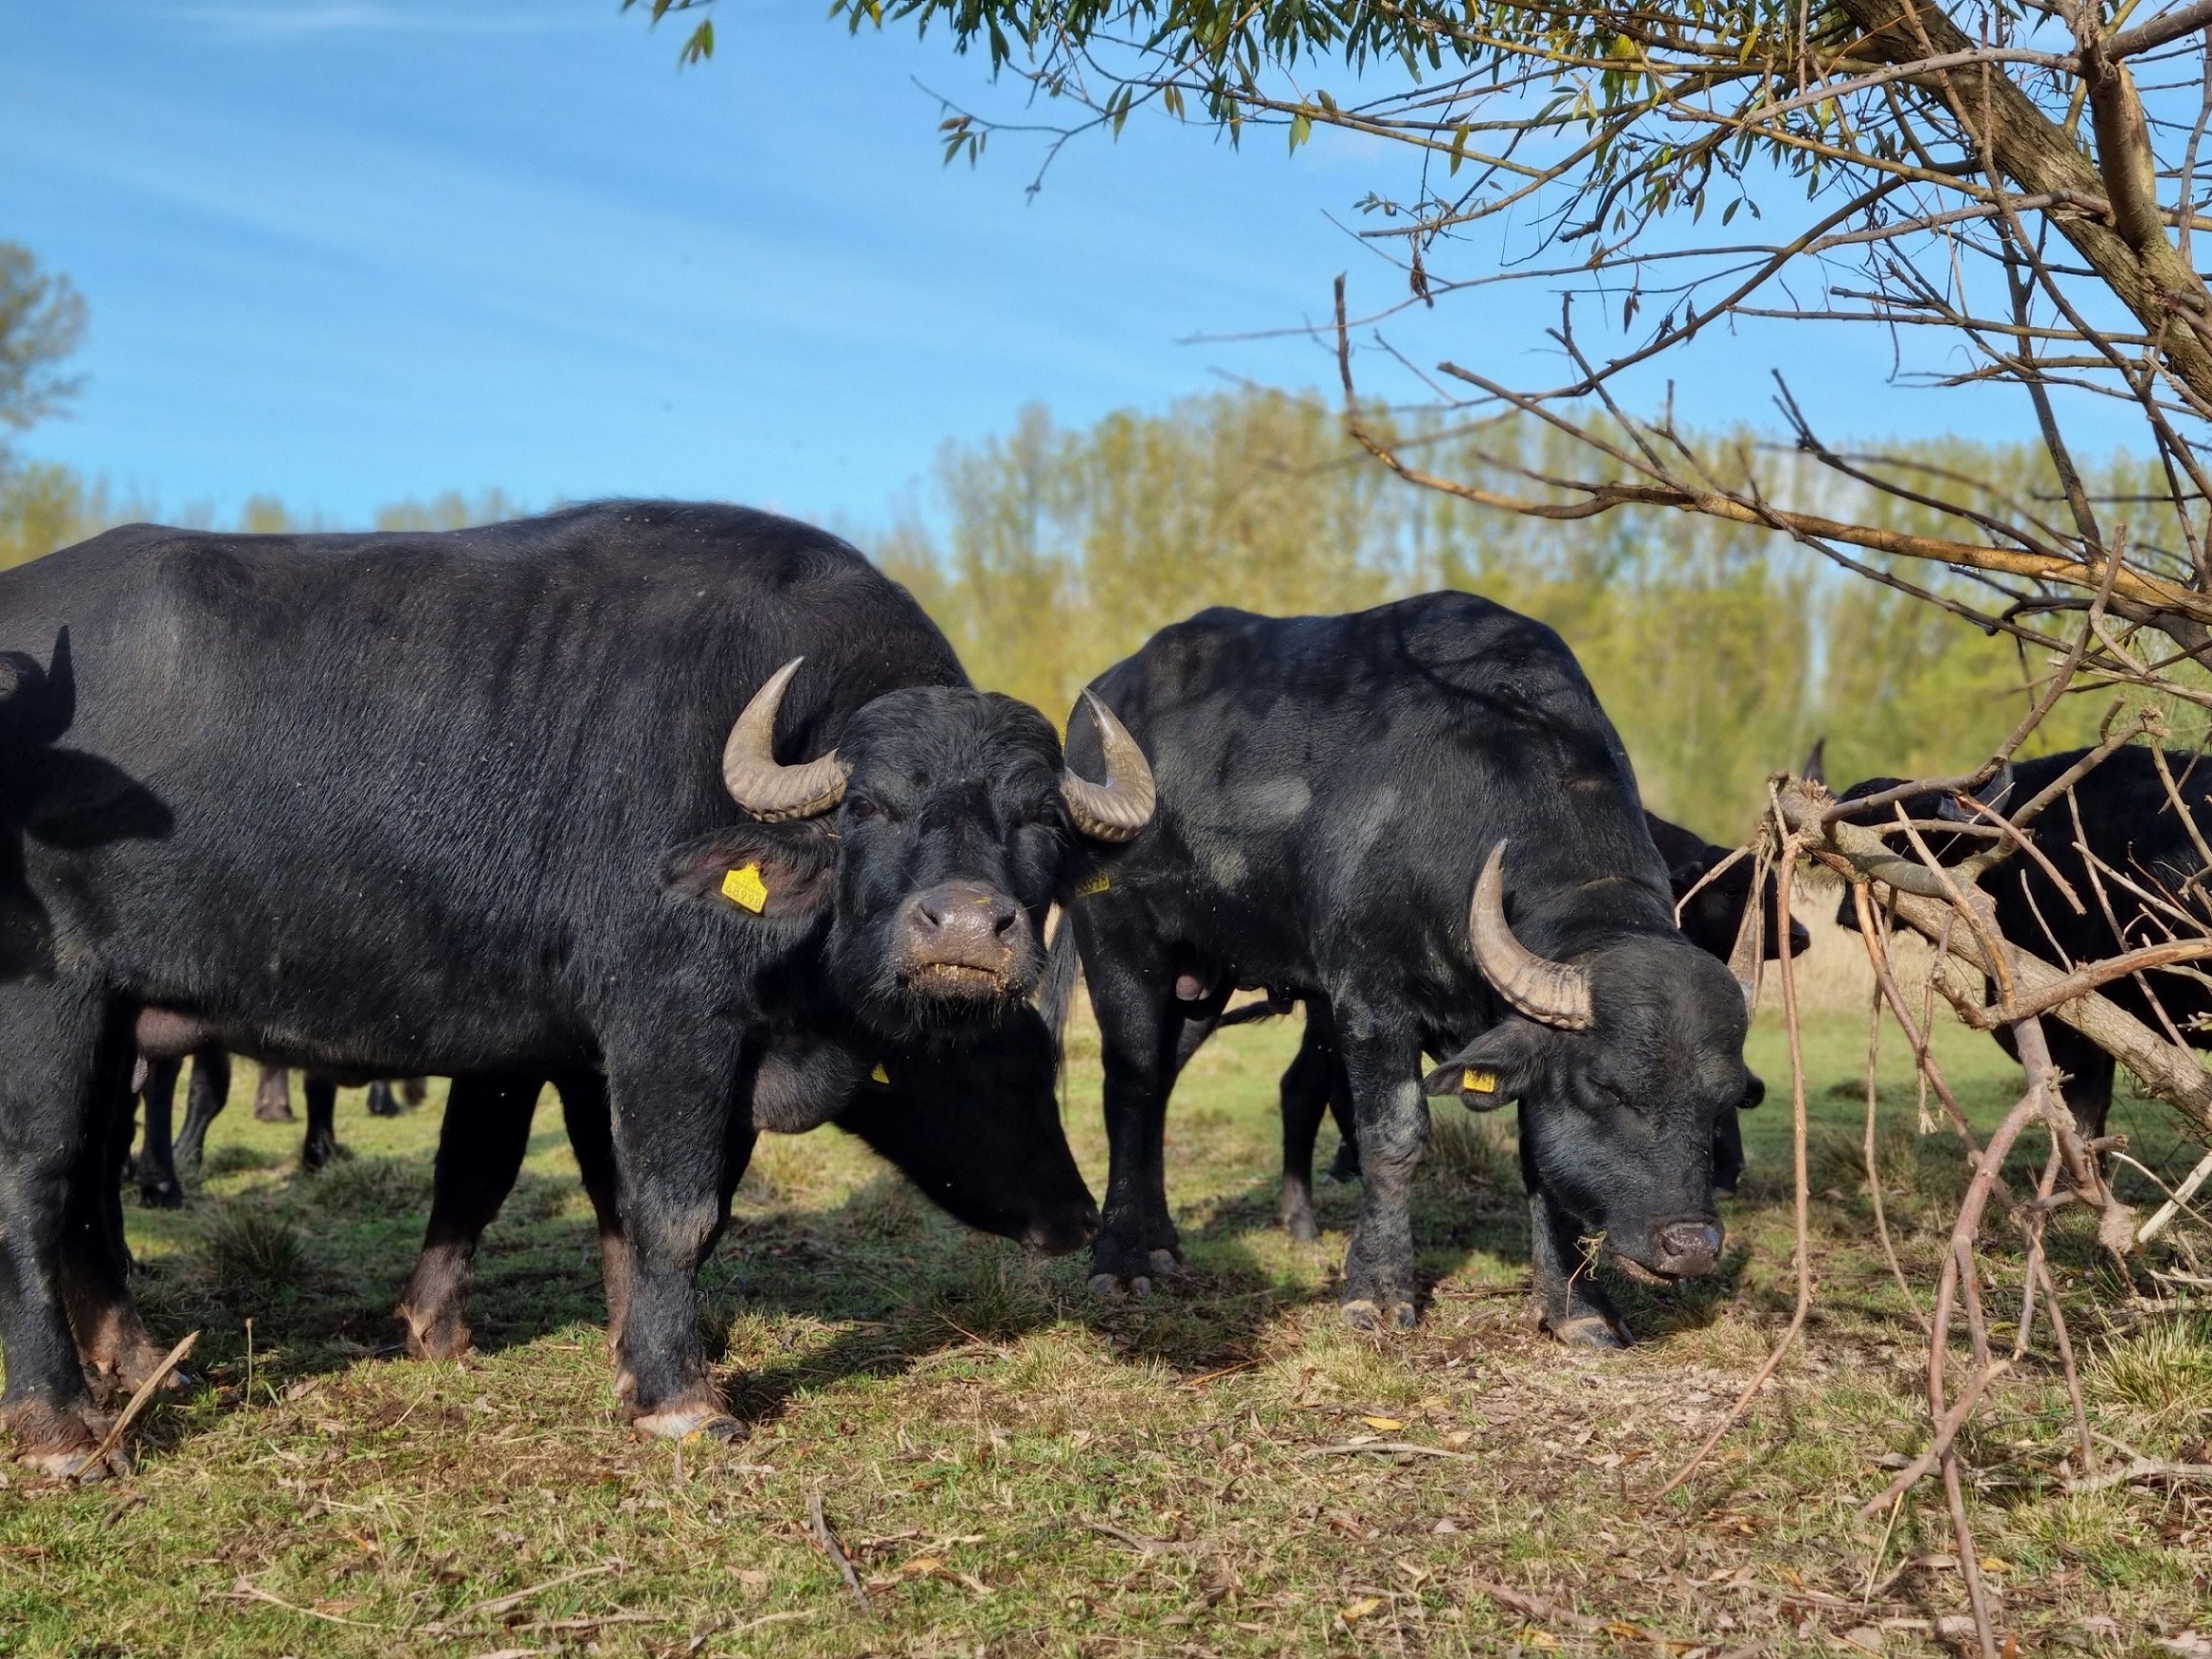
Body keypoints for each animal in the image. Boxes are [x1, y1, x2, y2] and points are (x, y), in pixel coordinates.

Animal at [0, 504, 1149, 1477]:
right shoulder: (669, 1019)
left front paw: (596, 1347)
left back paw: (141, 1362)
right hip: (49, 996)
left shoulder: (558, 1048)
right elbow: (677, 1205)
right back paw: (66, 1426)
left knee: (92, 1184)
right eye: (867, 804)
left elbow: (537, 1182)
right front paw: (682, 1396)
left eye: (1039, 818)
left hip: (114, 1017)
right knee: (35, 1176)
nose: (965, 929)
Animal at [1052, 597, 1760, 1353]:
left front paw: (1577, 1307)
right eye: (1607, 1087)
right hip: (1119, 944)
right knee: (1130, 1086)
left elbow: (1540, 1160)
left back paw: (1160, 1240)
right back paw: (1123, 1259)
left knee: (1159, 1084)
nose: (1690, 1244)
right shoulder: (1368, 997)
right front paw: (1379, 1291)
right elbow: (1392, 1135)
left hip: (1202, 981)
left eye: (1722, 1099)